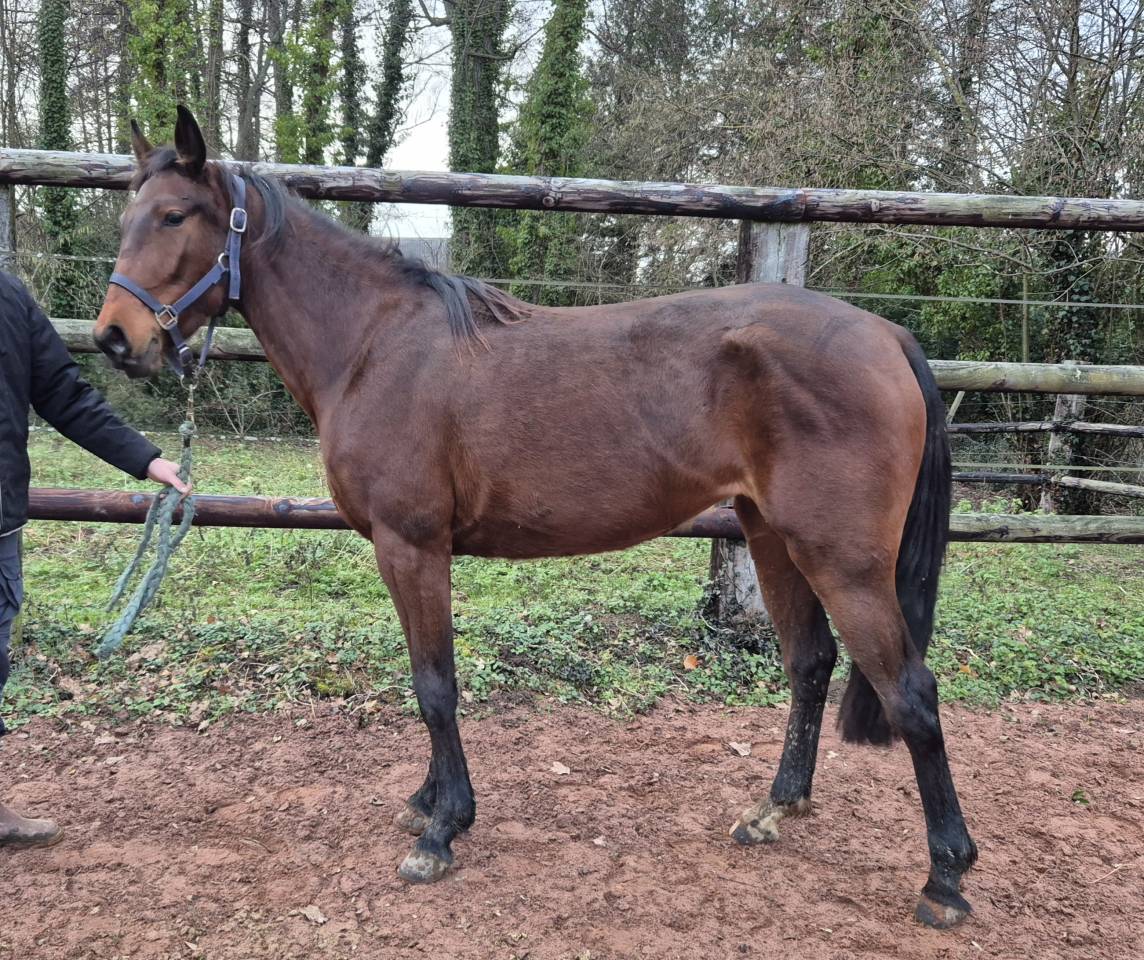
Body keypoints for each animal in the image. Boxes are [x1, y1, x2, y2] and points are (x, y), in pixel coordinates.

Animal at [92, 106, 977, 928]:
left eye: (174, 216)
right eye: (128, 217)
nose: (113, 338)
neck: (373, 347)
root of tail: (886, 333)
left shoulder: (411, 547)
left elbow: (435, 685)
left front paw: (442, 830)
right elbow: (429, 678)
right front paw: (428, 802)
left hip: (843, 559)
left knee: (911, 692)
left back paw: (945, 878)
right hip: (771, 536)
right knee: (809, 663)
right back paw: (774, 810)